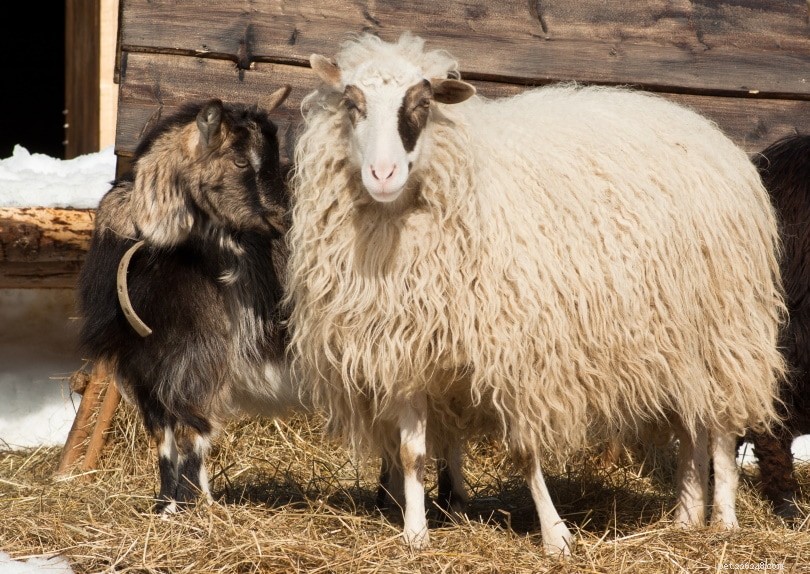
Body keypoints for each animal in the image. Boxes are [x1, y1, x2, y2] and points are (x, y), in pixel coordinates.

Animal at [76, 88, 298, 512]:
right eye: (241, 159)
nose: (283, 219)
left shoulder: (201, 359)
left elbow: (195, 431)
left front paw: (198, 504)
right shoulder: (143, 368)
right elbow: (163, 438)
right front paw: (165, 506)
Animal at [286, 31, 787, 554]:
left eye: (421, 104)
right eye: (352, 104)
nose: (382, 175)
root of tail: (703, 125)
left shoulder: (520, 355)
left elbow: (526, 453)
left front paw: (556, 536)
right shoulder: (404, 350)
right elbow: (411, 454)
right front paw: (415, 533)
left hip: (727, 326)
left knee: (722, 431)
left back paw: (724, 522)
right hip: (676, 340)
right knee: (692, 428)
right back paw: (687, 519)